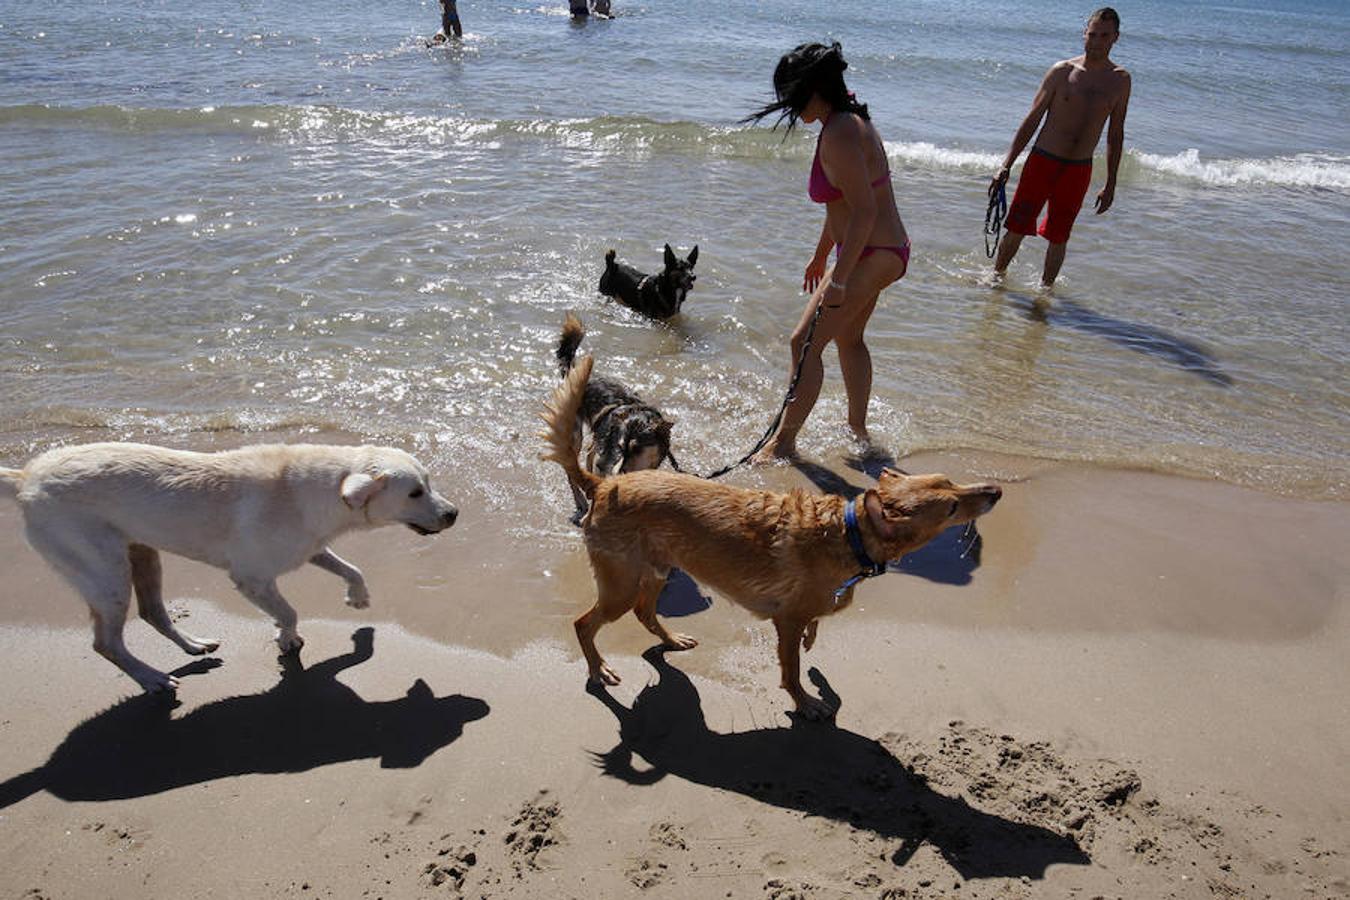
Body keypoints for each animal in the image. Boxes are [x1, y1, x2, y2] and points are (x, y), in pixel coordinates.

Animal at [0, 447, 459, 696]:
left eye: (428, 482)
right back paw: (152, 679)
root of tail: (25, 478)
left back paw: (194, 645)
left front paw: (358, 598)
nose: (454, 513)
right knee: (106, 643)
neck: (321, 491)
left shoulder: (308, 547)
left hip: (142, 554)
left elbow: (351, 568)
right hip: (105, 572)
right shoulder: (252, 576)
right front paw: (287, 639)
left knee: (153, 612)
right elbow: (289, 610)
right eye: (415, 492)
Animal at [540, 356, 1004, 723]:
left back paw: (671, 641)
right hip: (620, 582)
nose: (996, 491)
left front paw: (814, 643)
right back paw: (599, 670)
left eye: (949, 480)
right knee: (585, 624)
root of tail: (602, 483)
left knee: (645, 612)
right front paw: (806, 703)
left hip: (658, 569)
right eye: (951, 507)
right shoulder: (786, 621)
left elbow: (814, 629)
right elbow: (792, 670)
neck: (848, 532)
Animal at [553, 313, 680, 523]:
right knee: (572, 466)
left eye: (637, 448)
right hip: (576, 432)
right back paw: (581, 501)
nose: (621, 472)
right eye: (621, 447)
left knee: (590, 454)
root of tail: (577, 372)